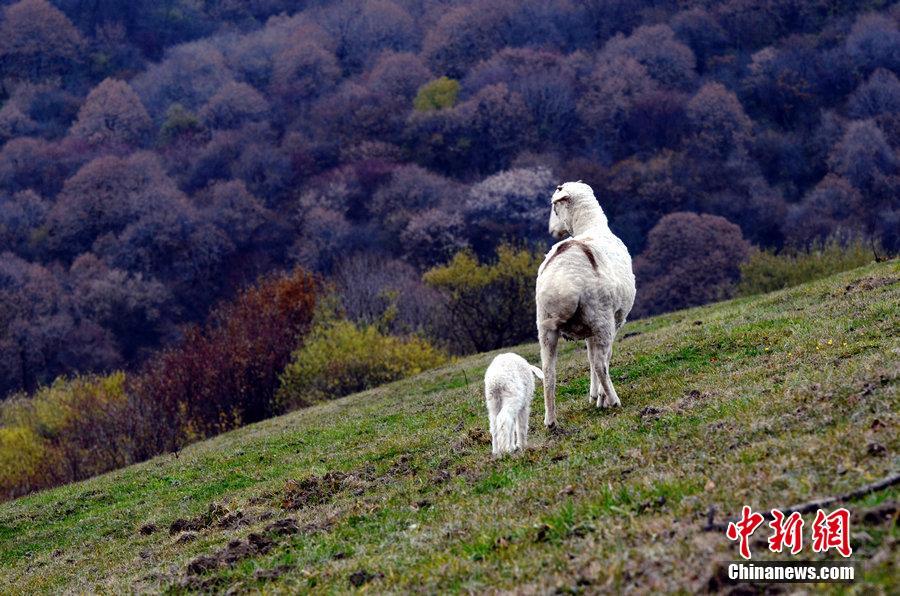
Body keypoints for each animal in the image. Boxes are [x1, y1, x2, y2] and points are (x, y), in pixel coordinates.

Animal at [536, 179, 636, 426]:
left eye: (554, 208)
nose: (552, 230)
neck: (592, 226)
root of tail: (563, 284)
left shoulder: (588, 329)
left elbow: (589, 356)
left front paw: (593, 395)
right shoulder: (613, 322)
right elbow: (601, 358)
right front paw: (600, 397)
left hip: (546, 325)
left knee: (548, 372)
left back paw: (550, 421)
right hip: (601, 318)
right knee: (601, 363)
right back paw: (614, 400)